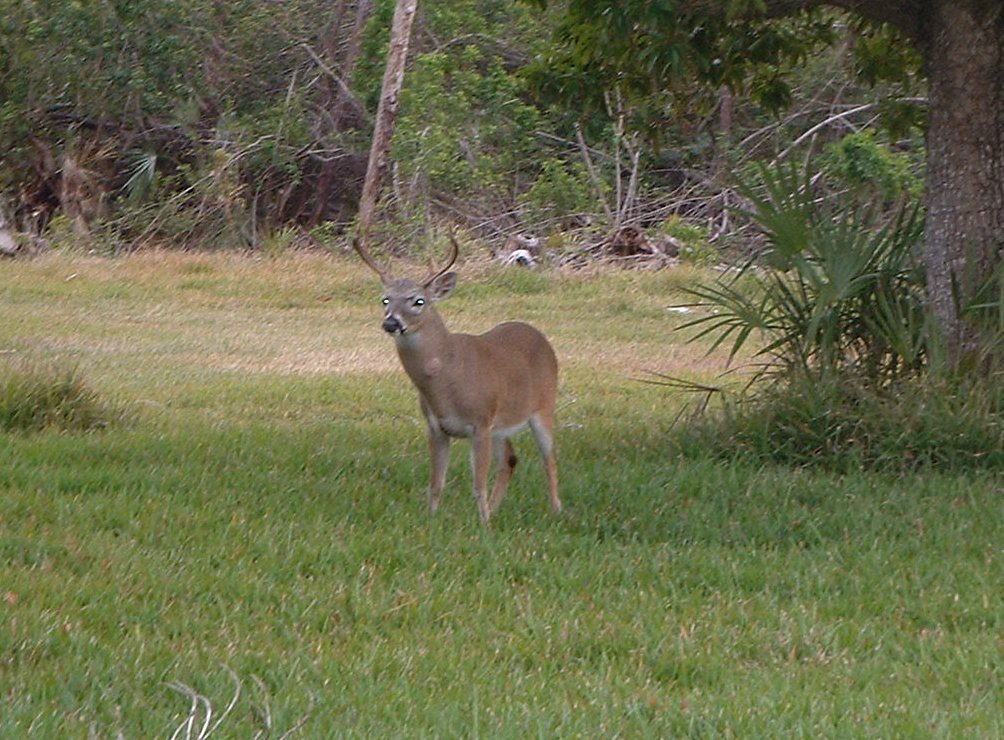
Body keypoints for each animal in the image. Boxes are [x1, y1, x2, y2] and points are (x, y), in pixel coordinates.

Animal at [352, 233, 561, 525]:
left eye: (418, 301)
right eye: (385, 300)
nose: (391, 323)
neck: (447, 379)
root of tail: (539, 335)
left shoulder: (481, 422)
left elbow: (478, 483)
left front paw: (484, 526)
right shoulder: (436, 427)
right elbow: (436, 483)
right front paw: (431, 520)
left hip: (543, 406)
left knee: (549, 458)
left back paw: (556, 510)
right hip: (501, 424)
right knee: (510, 459)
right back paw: (496, 509)